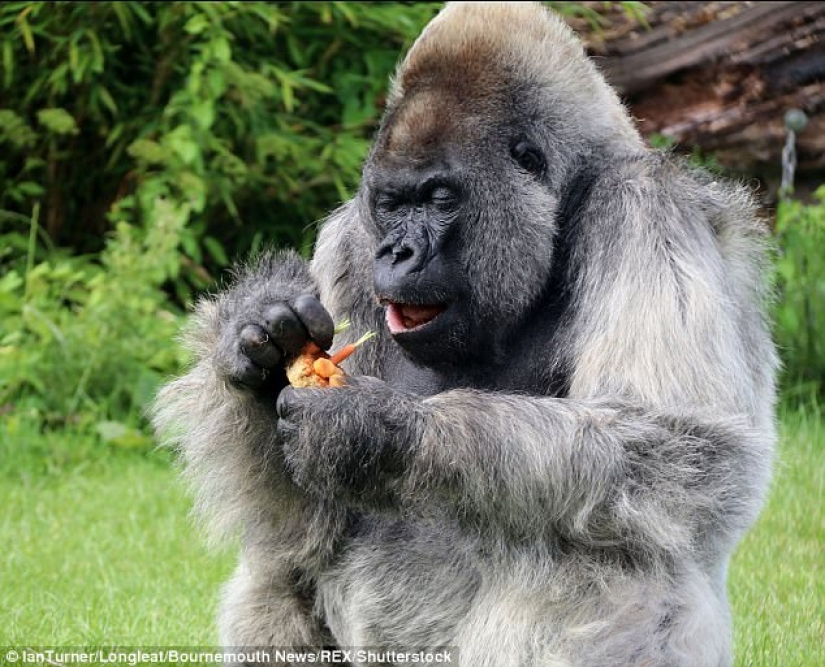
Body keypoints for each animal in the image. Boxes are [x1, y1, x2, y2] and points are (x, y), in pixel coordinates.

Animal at [154, 2, 780, 664]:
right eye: (391, 203)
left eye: (438, 198)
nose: (396, 252)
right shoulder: (349, 242)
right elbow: (300, 526)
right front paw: (259, 337)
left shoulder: (645, 206)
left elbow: (688, 447)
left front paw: (382, 431)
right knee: (276, 571)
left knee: (615, 551)